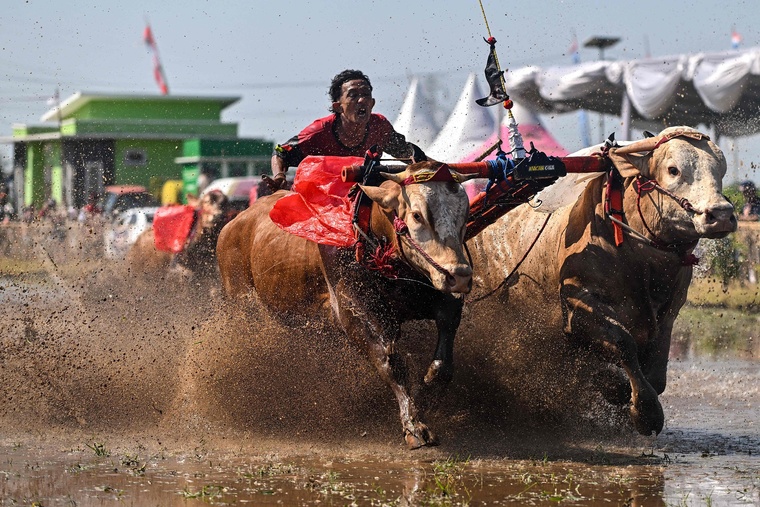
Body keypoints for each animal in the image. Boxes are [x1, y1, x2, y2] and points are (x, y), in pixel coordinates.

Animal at [215, 162, 476, 448]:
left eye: (464, 213)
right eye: (417, 216)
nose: (460, 275)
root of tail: (232, 226)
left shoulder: (438, 295)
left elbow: (443, 356)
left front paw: (429, 392)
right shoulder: (356, 310)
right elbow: (390, 361)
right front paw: (414, 424)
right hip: (242, 303)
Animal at [466, 127, 740, 436]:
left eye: (721, 169)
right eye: (673, 170)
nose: (721, 215)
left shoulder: (668, 313)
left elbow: (657, 375)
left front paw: (619, 390)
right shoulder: (578, 306)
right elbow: (623, 344)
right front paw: (645, 412)